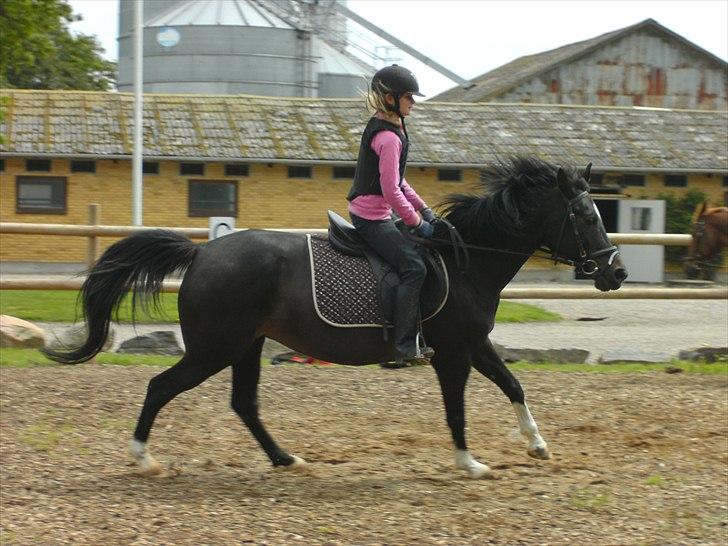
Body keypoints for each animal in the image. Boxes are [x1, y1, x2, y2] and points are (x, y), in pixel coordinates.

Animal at [44, 156, 624, 476]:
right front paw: (470, 463)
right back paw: (143, 457)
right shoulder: (452, 354)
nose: (615, 273)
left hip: (246, 346)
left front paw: (538, 445)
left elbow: (514, 386)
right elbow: (456, 410)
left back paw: (286, 459)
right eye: (583, 215)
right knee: (161, 387)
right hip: (215, 348)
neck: (467, 261)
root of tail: (203, 252)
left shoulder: (474, 344)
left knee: (243, 404)